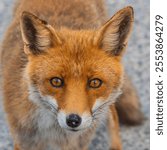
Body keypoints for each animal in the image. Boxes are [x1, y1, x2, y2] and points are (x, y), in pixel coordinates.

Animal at [0, 0, 143, 150]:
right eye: (56, 81)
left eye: (95, 82)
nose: (73, 120)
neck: (57, 137)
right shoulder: (23, 140)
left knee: (113, 114)